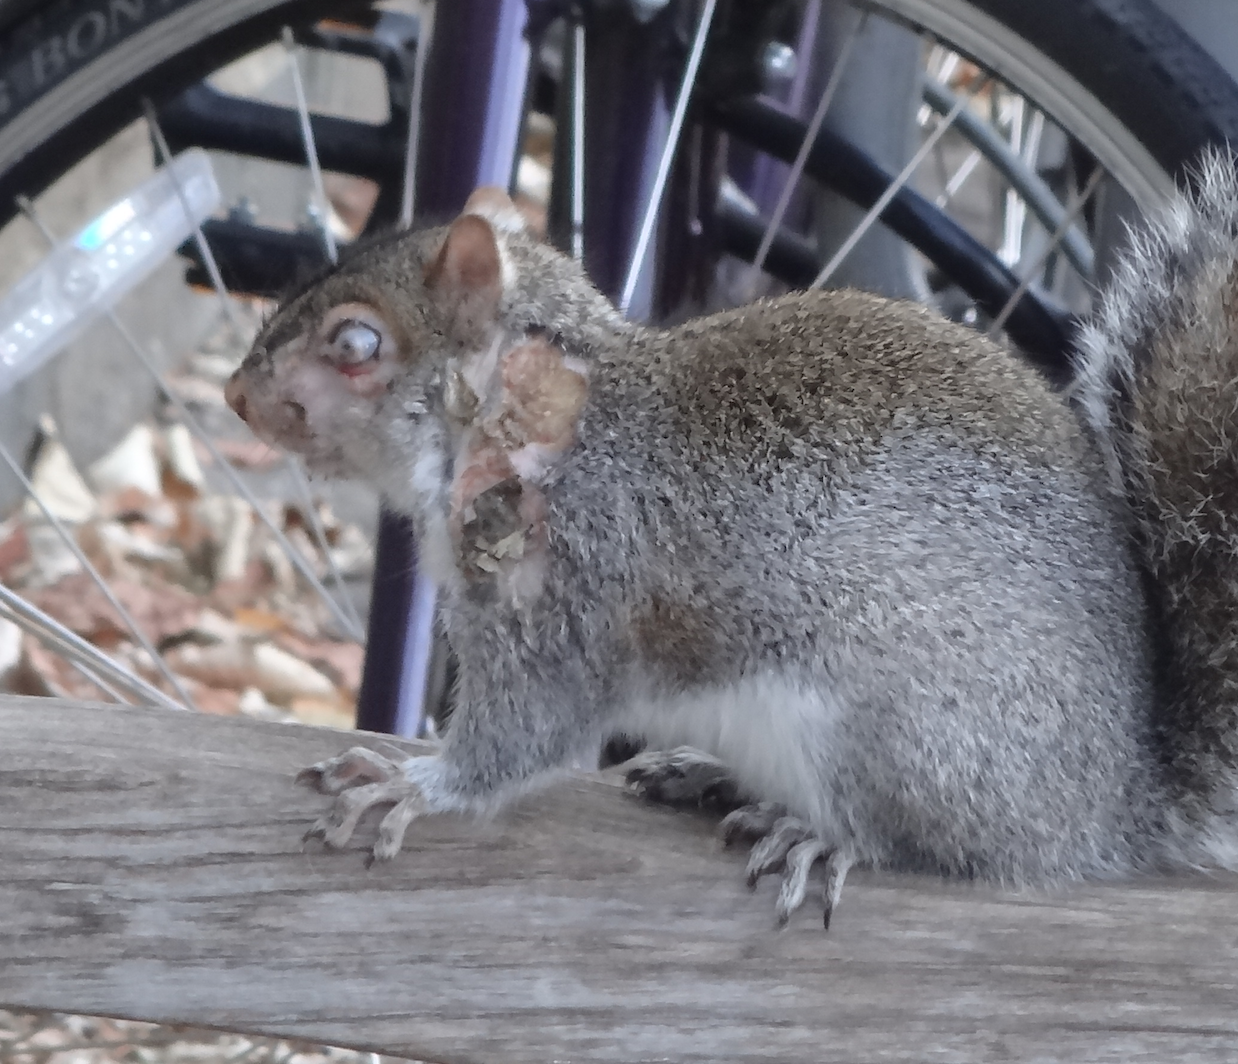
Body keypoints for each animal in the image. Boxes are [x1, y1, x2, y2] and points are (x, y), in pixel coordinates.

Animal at [227, 157, 1238, 931]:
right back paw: (707, 773)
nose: (236, 395)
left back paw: (821, 836)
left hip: (903, 737)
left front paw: (411, 783)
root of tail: (1113, 808)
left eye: (355, 343)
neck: (553, 422)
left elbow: (524, 733)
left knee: (926, 842)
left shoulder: (575, 588)